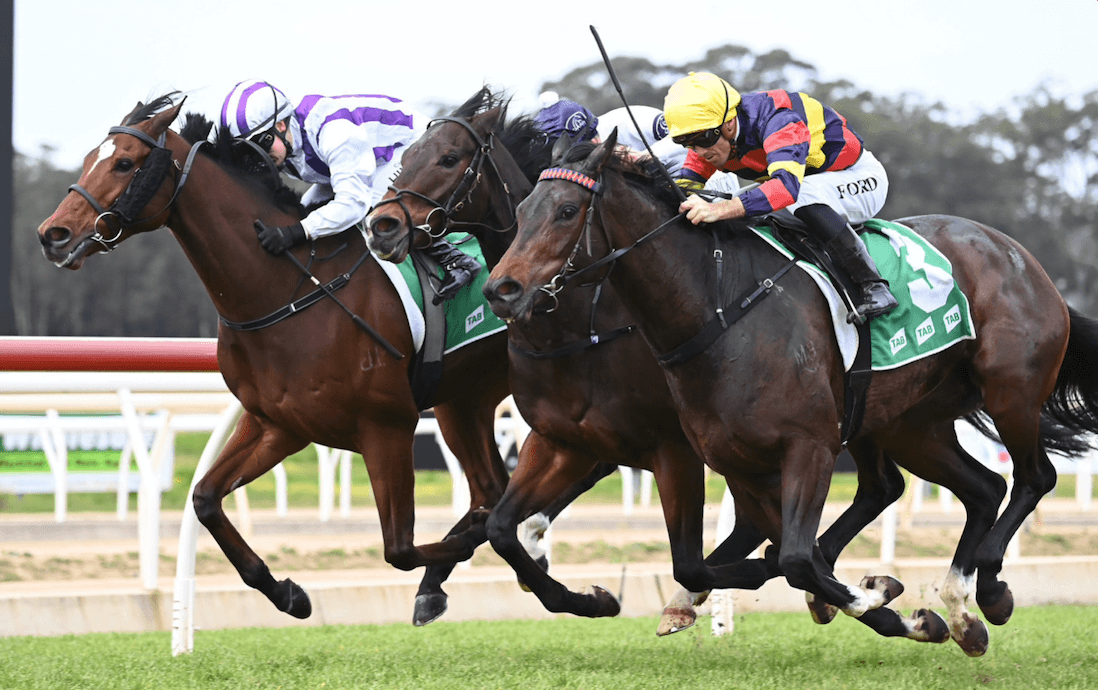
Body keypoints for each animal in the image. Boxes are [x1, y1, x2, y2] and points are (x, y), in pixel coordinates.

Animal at [35, 95, 513, 619]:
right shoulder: (278, 423)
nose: (53, 233)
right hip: (463, 402)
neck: (286, 293)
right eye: (88, 159)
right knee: (490, 486)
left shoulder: (386, 425)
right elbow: (204, 498)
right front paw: (288, 593)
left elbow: (400, 548)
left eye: (124, 162)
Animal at [483, 131, 1098, 654]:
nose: (500, 290)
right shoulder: (717, 456)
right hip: (910, 422)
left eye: (566, 211)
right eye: (522, 210)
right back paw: (962, 608)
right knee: (977, 487)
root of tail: (1021, 257)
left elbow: (794, 557)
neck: (717, 308)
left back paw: (988, 591)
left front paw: (874, 595)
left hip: (1011, 390)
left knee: (1033, 477)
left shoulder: (797, 447)